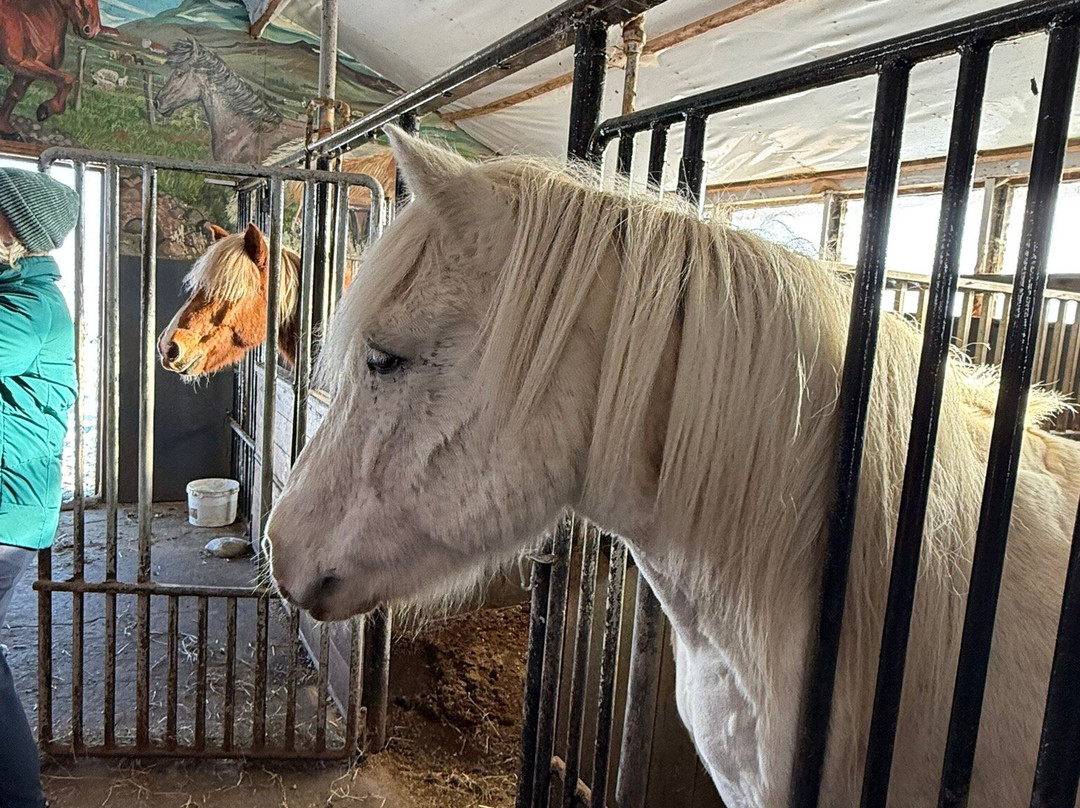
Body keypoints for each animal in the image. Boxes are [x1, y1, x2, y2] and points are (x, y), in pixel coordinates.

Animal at [0, 0, 101, 140]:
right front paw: (45, 110)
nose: (92, 30)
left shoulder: (26, 73)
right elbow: (67, 79)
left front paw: (6, 130)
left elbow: (14, 94)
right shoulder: (20, 64)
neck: (27, 20)